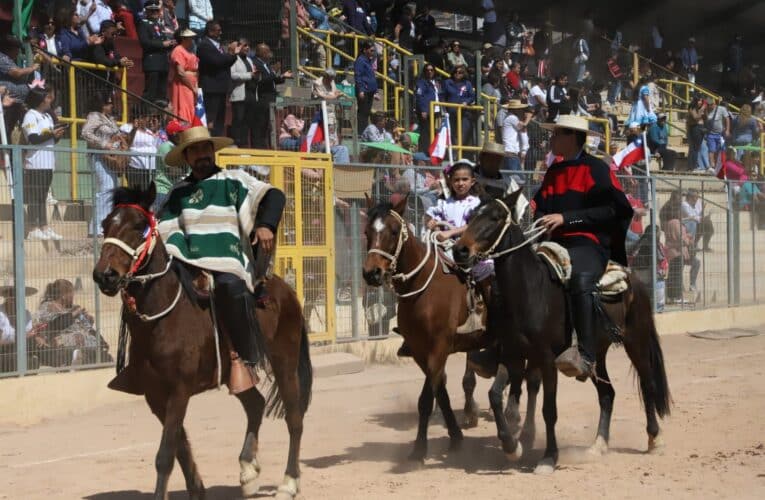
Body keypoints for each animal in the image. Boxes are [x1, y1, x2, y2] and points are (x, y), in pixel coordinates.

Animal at [91, 185, 312, 500]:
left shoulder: (179, 390)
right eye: (106, 223)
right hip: (235, 373)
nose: (105, 275)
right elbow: (180, 447)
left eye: (139, 226)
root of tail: (287, 291)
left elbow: (165, 454)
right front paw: (197, 490)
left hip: (285, 361)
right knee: (255, 404)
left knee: (294, 418)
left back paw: (289, 482)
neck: (162, 318)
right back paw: (248, 469)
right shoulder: (155, 396)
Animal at [454, 190, 668, 472]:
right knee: (607, 394)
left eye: (496, 217)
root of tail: (634, 281)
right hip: (596, 355)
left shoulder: (546, 360)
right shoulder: (512, 354)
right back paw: (598, 445)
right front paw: (512, 447)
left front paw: (548, 457)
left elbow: (548, 410)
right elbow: (495, 396)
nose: (459, 250)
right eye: (471, 215)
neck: (530, 291)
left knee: (648, 383)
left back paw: (654, 438)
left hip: (637, 341)